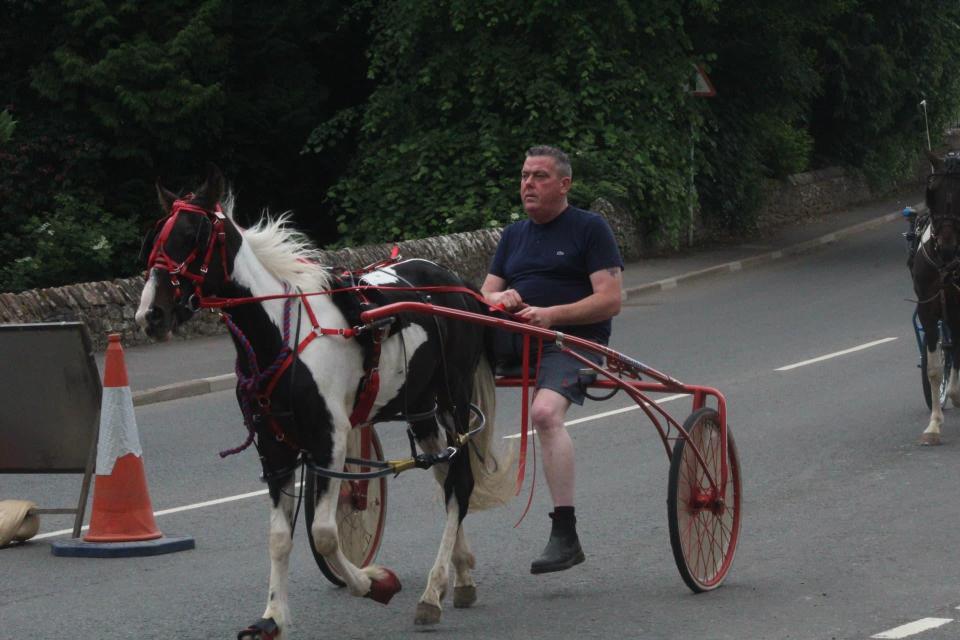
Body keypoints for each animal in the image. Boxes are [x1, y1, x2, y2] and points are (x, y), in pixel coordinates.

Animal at [133, 165, 516, 636]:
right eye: (155, 237)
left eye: (193, 233)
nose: (151, 315)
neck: (282, 336)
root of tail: (457, 285)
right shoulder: (274, 446)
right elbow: (280, 538)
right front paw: (273, 616)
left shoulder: (329, 440)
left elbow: (324, 534)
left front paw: (373, 582)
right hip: (422, 408)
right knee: (445, 475)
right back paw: (460, 573)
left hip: (453, 399)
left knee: (459, 484)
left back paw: (432, 591)